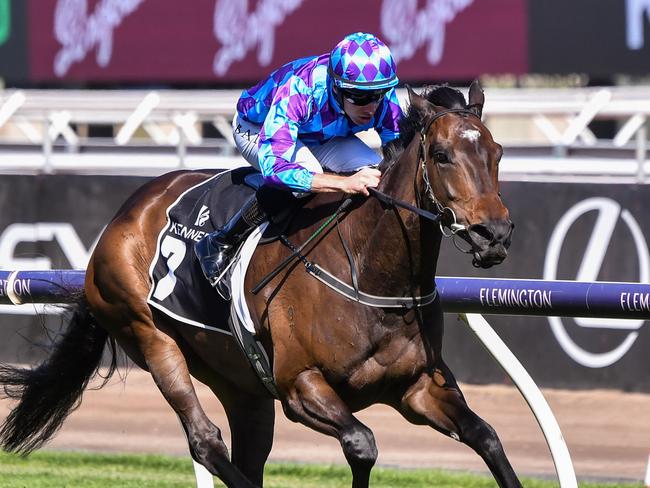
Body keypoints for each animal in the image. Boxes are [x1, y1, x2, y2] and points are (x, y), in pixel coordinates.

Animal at [0, 82, 516, 486]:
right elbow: (362, 443)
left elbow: (488, 437)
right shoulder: (299, 386)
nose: (493, 233)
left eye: (497, 153)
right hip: (151, 336)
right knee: (205, 441)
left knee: (246, 449)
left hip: (239, 381)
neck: (373, 276)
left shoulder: (418, 387)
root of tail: (125, 213)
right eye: (442, 156)